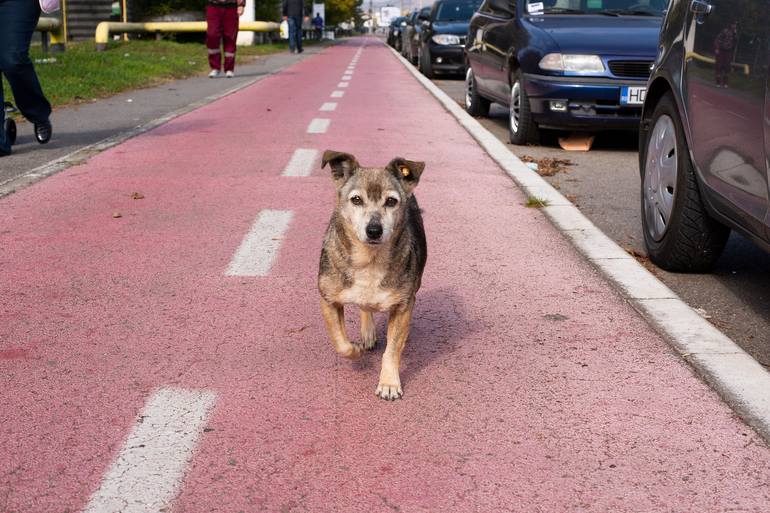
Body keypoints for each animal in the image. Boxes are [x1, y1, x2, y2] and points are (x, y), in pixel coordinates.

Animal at [318, 150, 426, 398]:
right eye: (356, 199)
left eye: (391, 201)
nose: (374, 230)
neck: (370, 259)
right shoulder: (328, 299)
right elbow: (340, 341)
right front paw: (355, 350)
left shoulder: (403, 305)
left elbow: (393, 349)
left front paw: (389, 383)